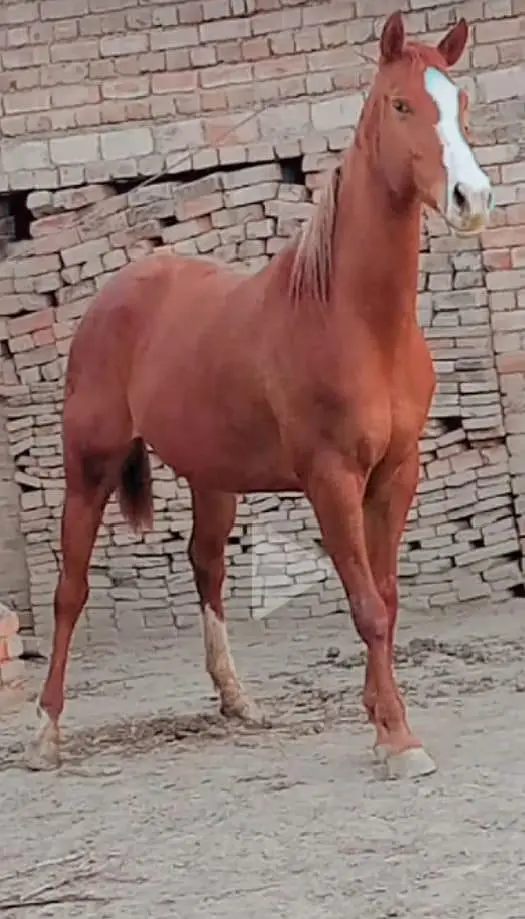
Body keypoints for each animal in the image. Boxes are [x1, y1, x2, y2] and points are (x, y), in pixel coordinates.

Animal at [26, 11, 493, 778]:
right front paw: (398, 738)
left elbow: (388, 599)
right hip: (88, 470)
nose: (472, 199)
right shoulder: (331, 480)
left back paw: (236, 699)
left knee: (206, 566)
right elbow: (366, 606)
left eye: (460, 104)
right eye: (400, 105)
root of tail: (115, 293)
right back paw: (46, 731)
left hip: (213, 477)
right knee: (71, 590)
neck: (354, 319)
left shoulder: (396, 474)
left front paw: (377, 715)